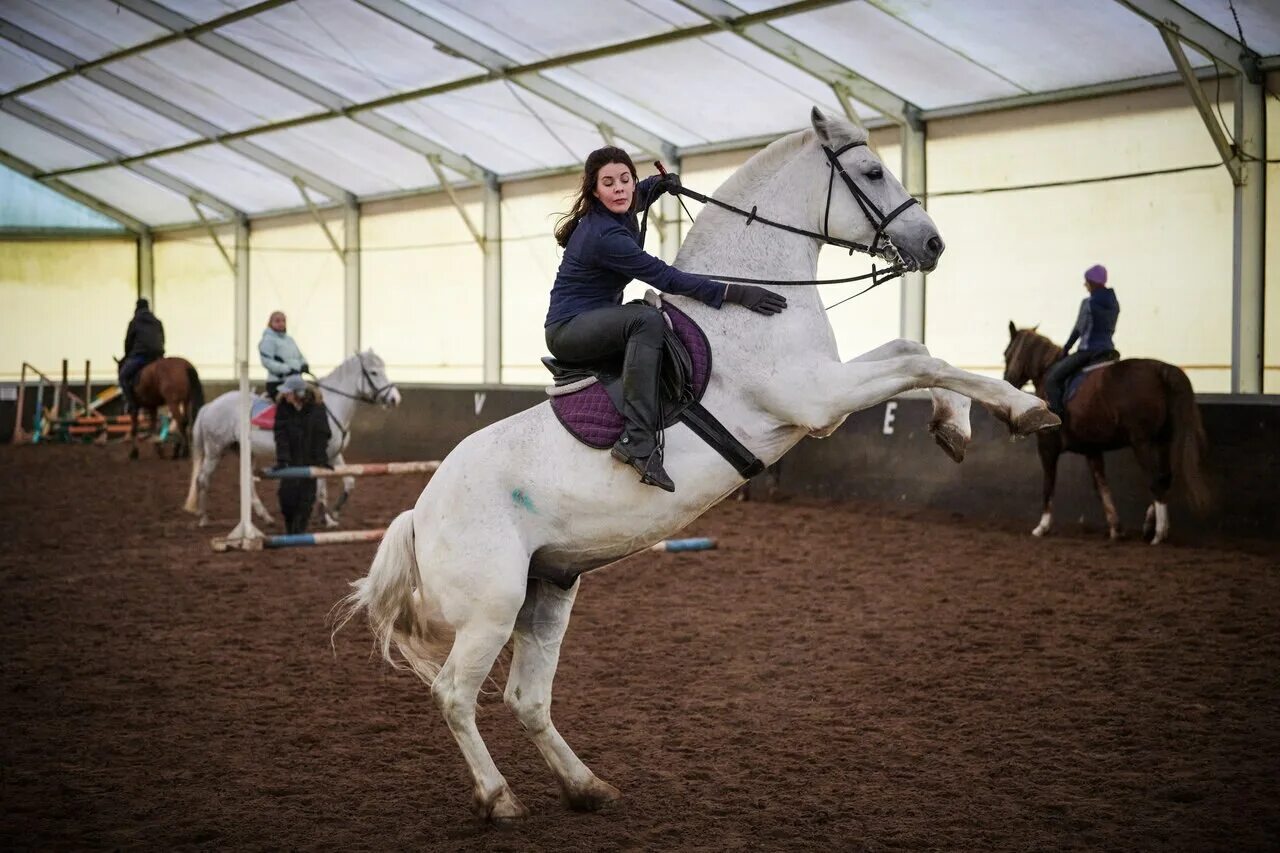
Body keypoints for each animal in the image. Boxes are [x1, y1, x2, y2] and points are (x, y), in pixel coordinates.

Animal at [184, 348, 399, 525]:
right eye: (374, 372)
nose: (394, 398)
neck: (330, 407)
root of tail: (210, 406)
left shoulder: (334, 454)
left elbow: (349, 482)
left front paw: (334, 513)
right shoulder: (321, 456)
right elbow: (322, 487)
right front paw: (325, 518)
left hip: (245, 452)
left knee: (247, 482)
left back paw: (265, 517)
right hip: (215, 450)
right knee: (203, 479)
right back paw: (203, 517)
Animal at [337, 109, 1059, 819]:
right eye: (873, 171)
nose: (932, 244)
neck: (756, 298)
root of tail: (418, 513)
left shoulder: (826, 389)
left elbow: (914, 350)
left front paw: (956, 427)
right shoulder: (817, 397)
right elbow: (921, 361)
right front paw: (1027, 409)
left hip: (548, 592)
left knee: (527, 699)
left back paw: (587, 787)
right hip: (493, 608)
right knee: (455, 695)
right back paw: (499, 797)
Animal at [1003, 322, 1203, 540]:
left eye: (1007, 353)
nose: (1007, 380)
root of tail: (1161, 369)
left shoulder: (1048, 447)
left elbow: (1049, 483)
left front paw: (1042, 526)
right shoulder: (1092, 449)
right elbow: (1101, 487)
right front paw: (1116, 528)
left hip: (1142, 442)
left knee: (1155, 480)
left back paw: (1159, 532)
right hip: (1163, 440)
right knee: (1164, 478)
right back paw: (1149, 524)